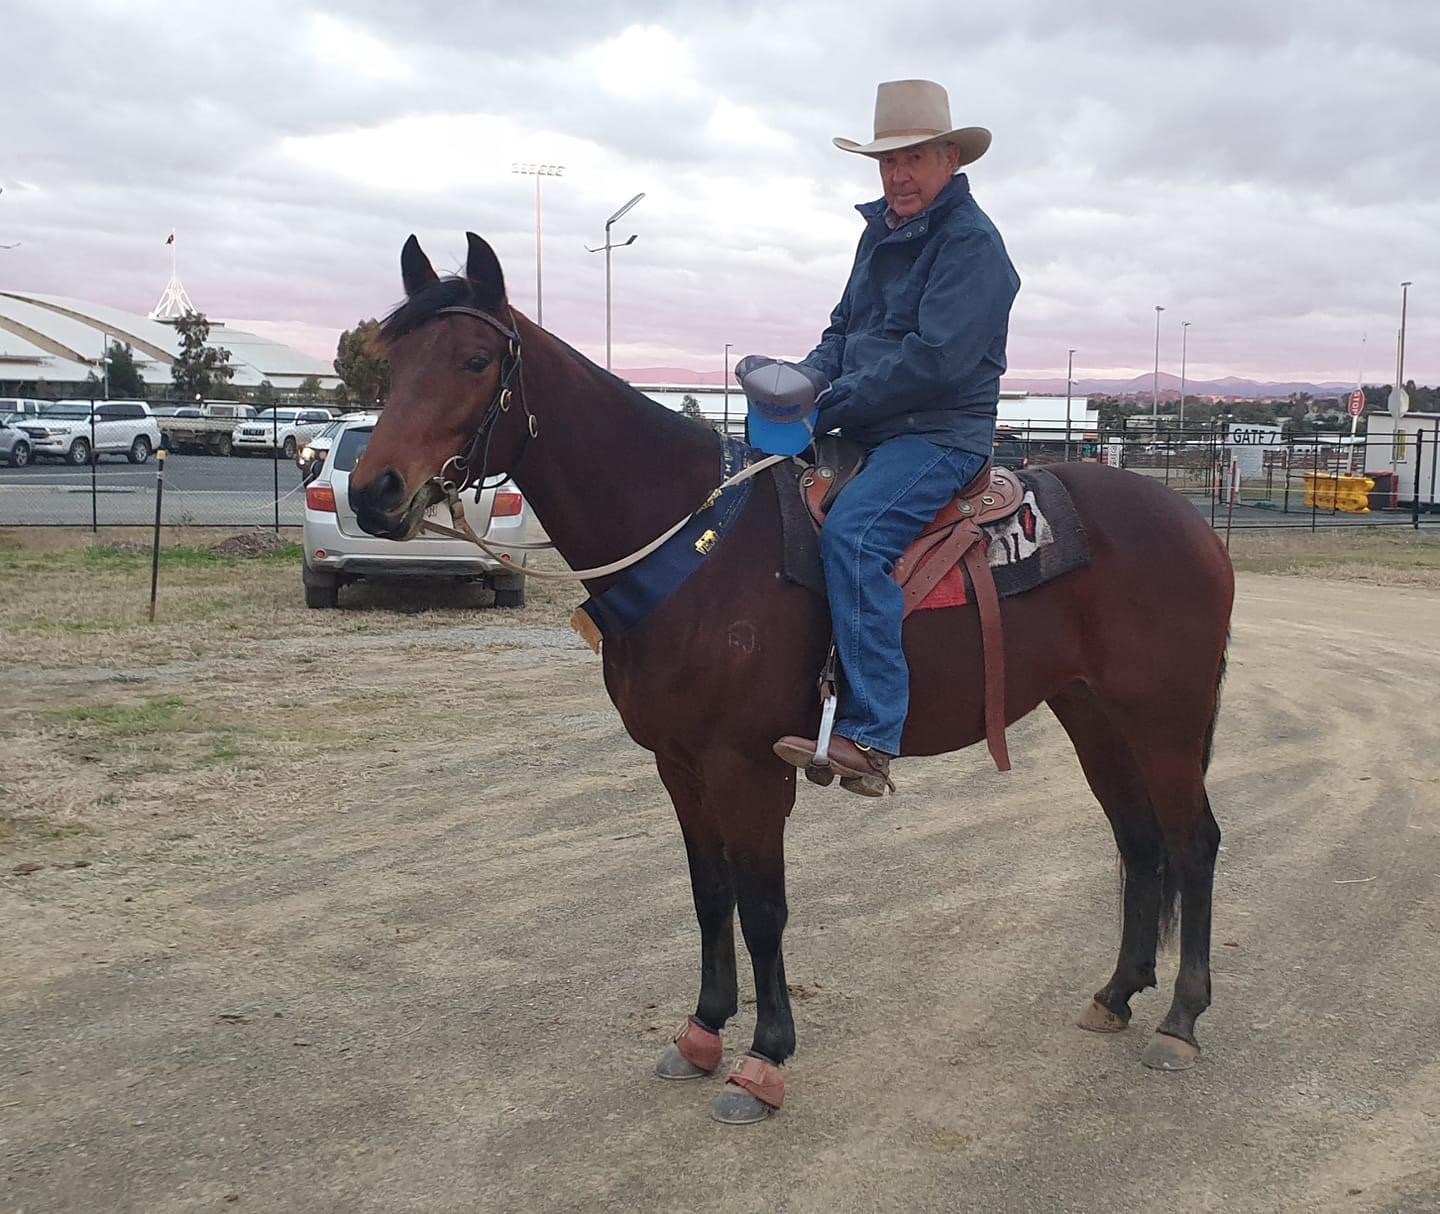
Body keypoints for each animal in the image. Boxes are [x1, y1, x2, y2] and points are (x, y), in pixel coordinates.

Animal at [348, 232, 1236, 1126]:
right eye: (392, 365)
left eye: (473, 360)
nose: (372, 491)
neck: (694, 541)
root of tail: (1192, 524)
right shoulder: (679, 765)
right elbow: (710, 894)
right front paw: (702, 1032)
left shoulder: (746, 767)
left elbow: (763, 907)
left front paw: (764, 1060)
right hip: (1094, 715)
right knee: (1139, 840)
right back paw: (1117, 995)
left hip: (1165, 721)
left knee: (1192, 843)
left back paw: (1183, 1020)